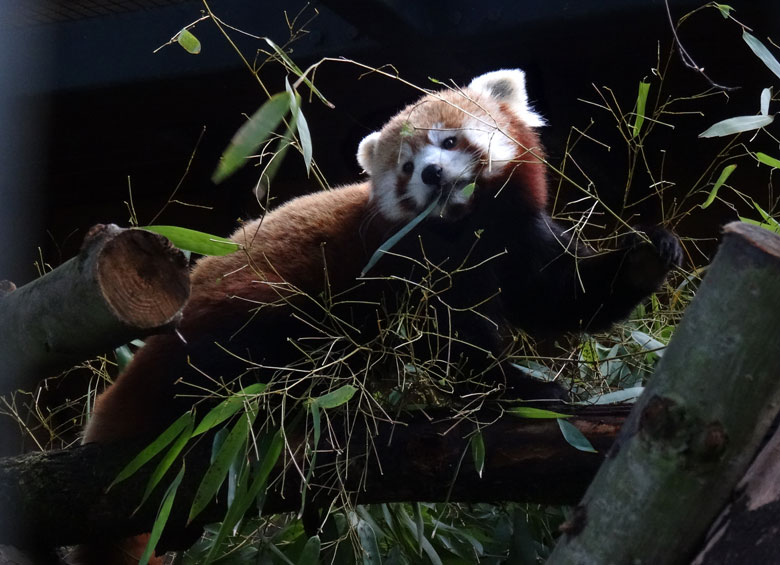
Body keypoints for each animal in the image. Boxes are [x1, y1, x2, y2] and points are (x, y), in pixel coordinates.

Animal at [77, 69, 676, 560]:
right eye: (406, 168)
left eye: (448, 140)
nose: (431, 174)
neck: (470, 227)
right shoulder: (403, 263)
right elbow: (449, 340)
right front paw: (521, 389)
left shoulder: (520, 240)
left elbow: (560, 295)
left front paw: (645, 256)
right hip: (249, 318)